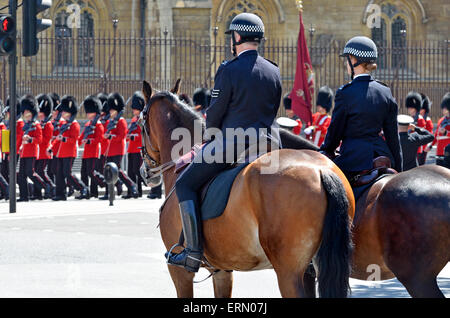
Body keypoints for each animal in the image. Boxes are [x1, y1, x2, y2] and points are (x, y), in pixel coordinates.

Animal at [141, 80, 356, 298]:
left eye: (141, 123)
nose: (145, 172)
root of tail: (320, 170)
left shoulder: (179, 272)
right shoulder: (222, 271)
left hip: (289, 273)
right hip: (310, 269)